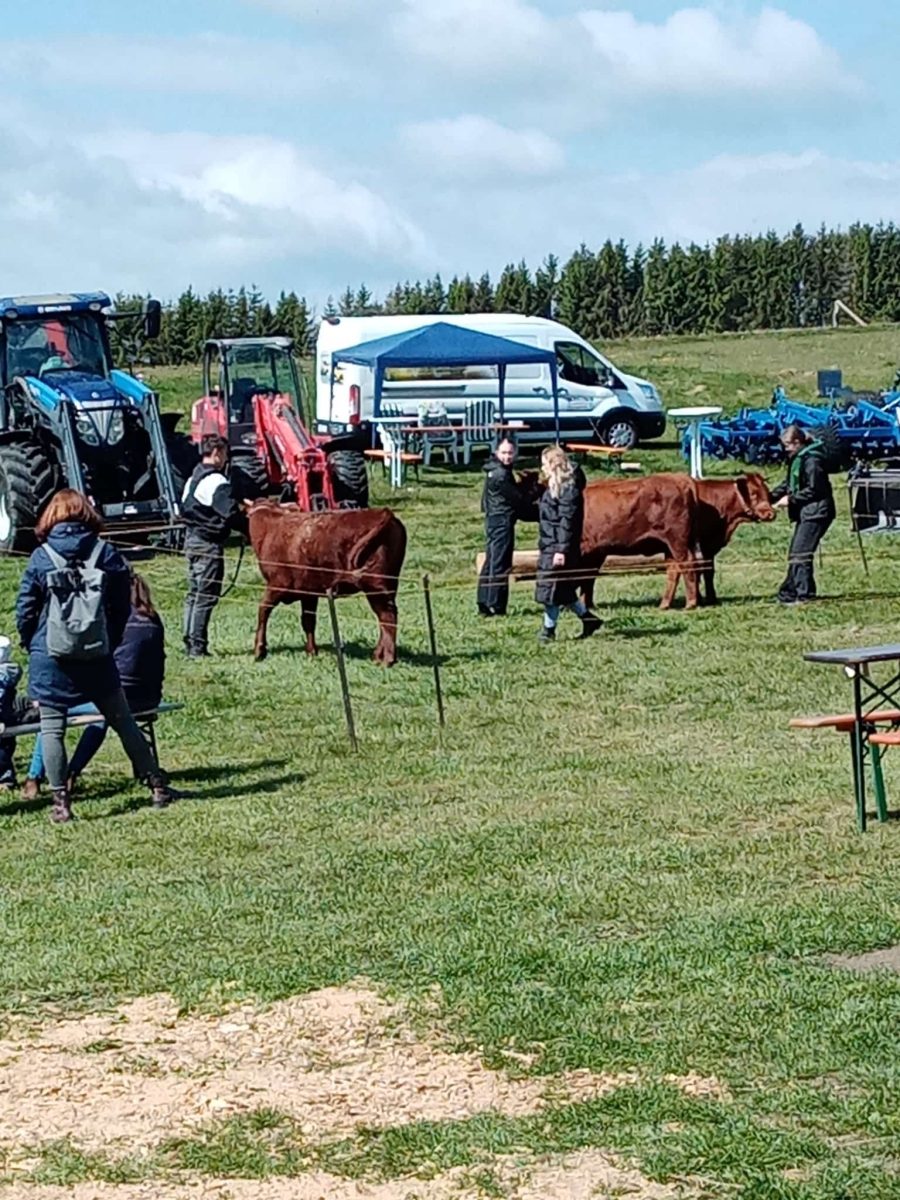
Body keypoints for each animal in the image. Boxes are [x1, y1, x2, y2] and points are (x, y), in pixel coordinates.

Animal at [246, 501, 407, 664]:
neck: (271, 529)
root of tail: (383, 513)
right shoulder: (308, 593)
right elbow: (308, 620)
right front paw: (312, 652)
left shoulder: (277, 584)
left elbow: (263, 610)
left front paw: (259, 650)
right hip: (389, 585)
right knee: (386, 617)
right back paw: (378, 655)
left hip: (375, 586)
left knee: (387, 616)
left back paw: (387, 659)